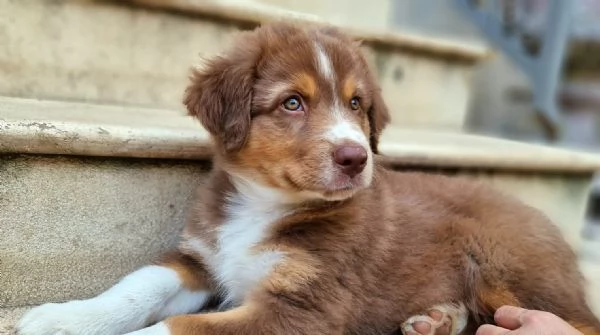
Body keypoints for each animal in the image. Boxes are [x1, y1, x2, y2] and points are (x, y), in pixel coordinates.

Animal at [16, 23, 600, 335]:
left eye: (357, 104)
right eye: (292, 102)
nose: (355, 158)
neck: (265, 206)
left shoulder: (301, 308)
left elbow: (176, 327)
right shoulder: (202, 258)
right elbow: (139, 285)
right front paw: (61, 319)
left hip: (511, 269)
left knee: (575, 323)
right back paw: (438, 319)